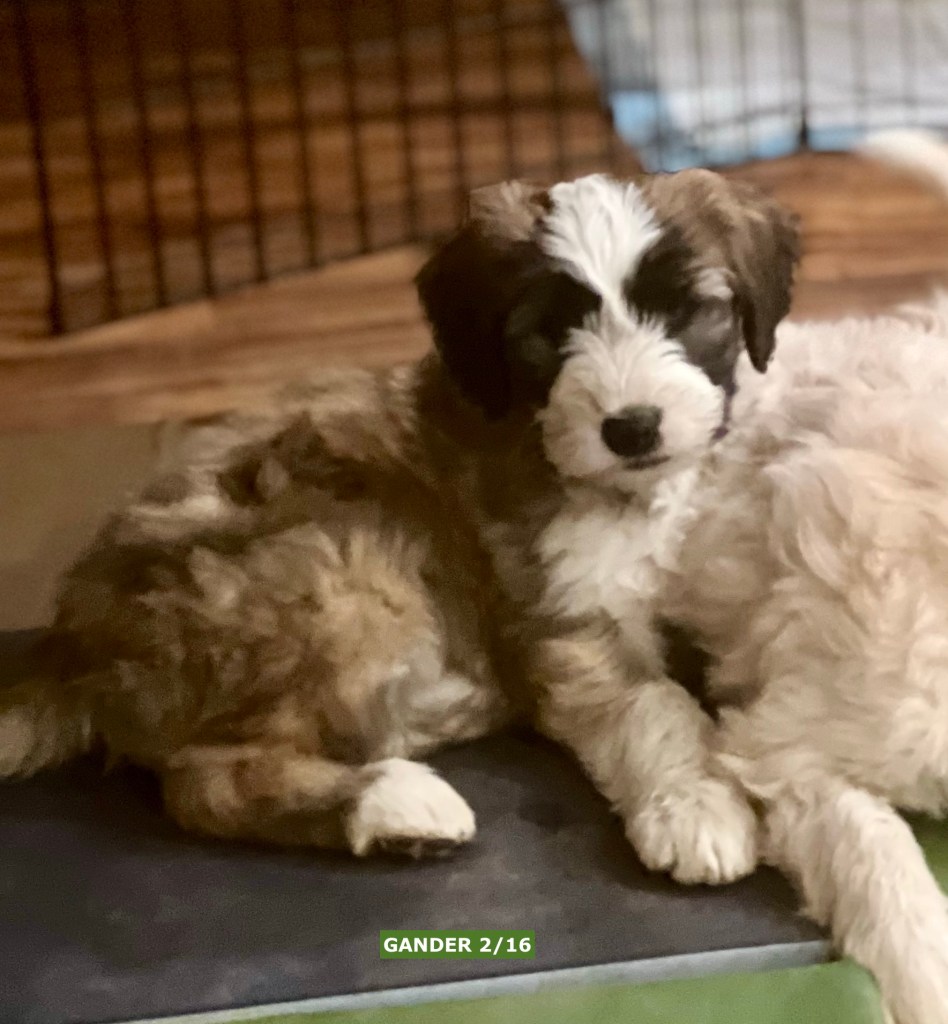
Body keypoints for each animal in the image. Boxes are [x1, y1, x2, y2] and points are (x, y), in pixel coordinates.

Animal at [0, 170, 797, 883]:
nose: (631, 428)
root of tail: (73, 639)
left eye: (688, 313)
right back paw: (390, 803)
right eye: (550, 333)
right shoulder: (567, 616)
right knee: (205, 780)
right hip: (346, 573)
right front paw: (696, 805)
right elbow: (652, 703)